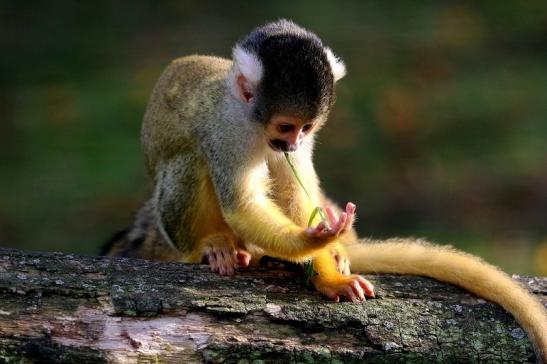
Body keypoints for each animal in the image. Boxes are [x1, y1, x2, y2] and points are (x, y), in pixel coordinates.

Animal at [104, 20, 547, 362]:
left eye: (306, 127)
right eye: (285, 126)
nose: (292, 142)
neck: (252, 120)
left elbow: (295, 190)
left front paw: (328, 269)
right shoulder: (227, 130)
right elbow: (242, 201)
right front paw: (311, 240)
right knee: (190, 159)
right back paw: (209, 245)